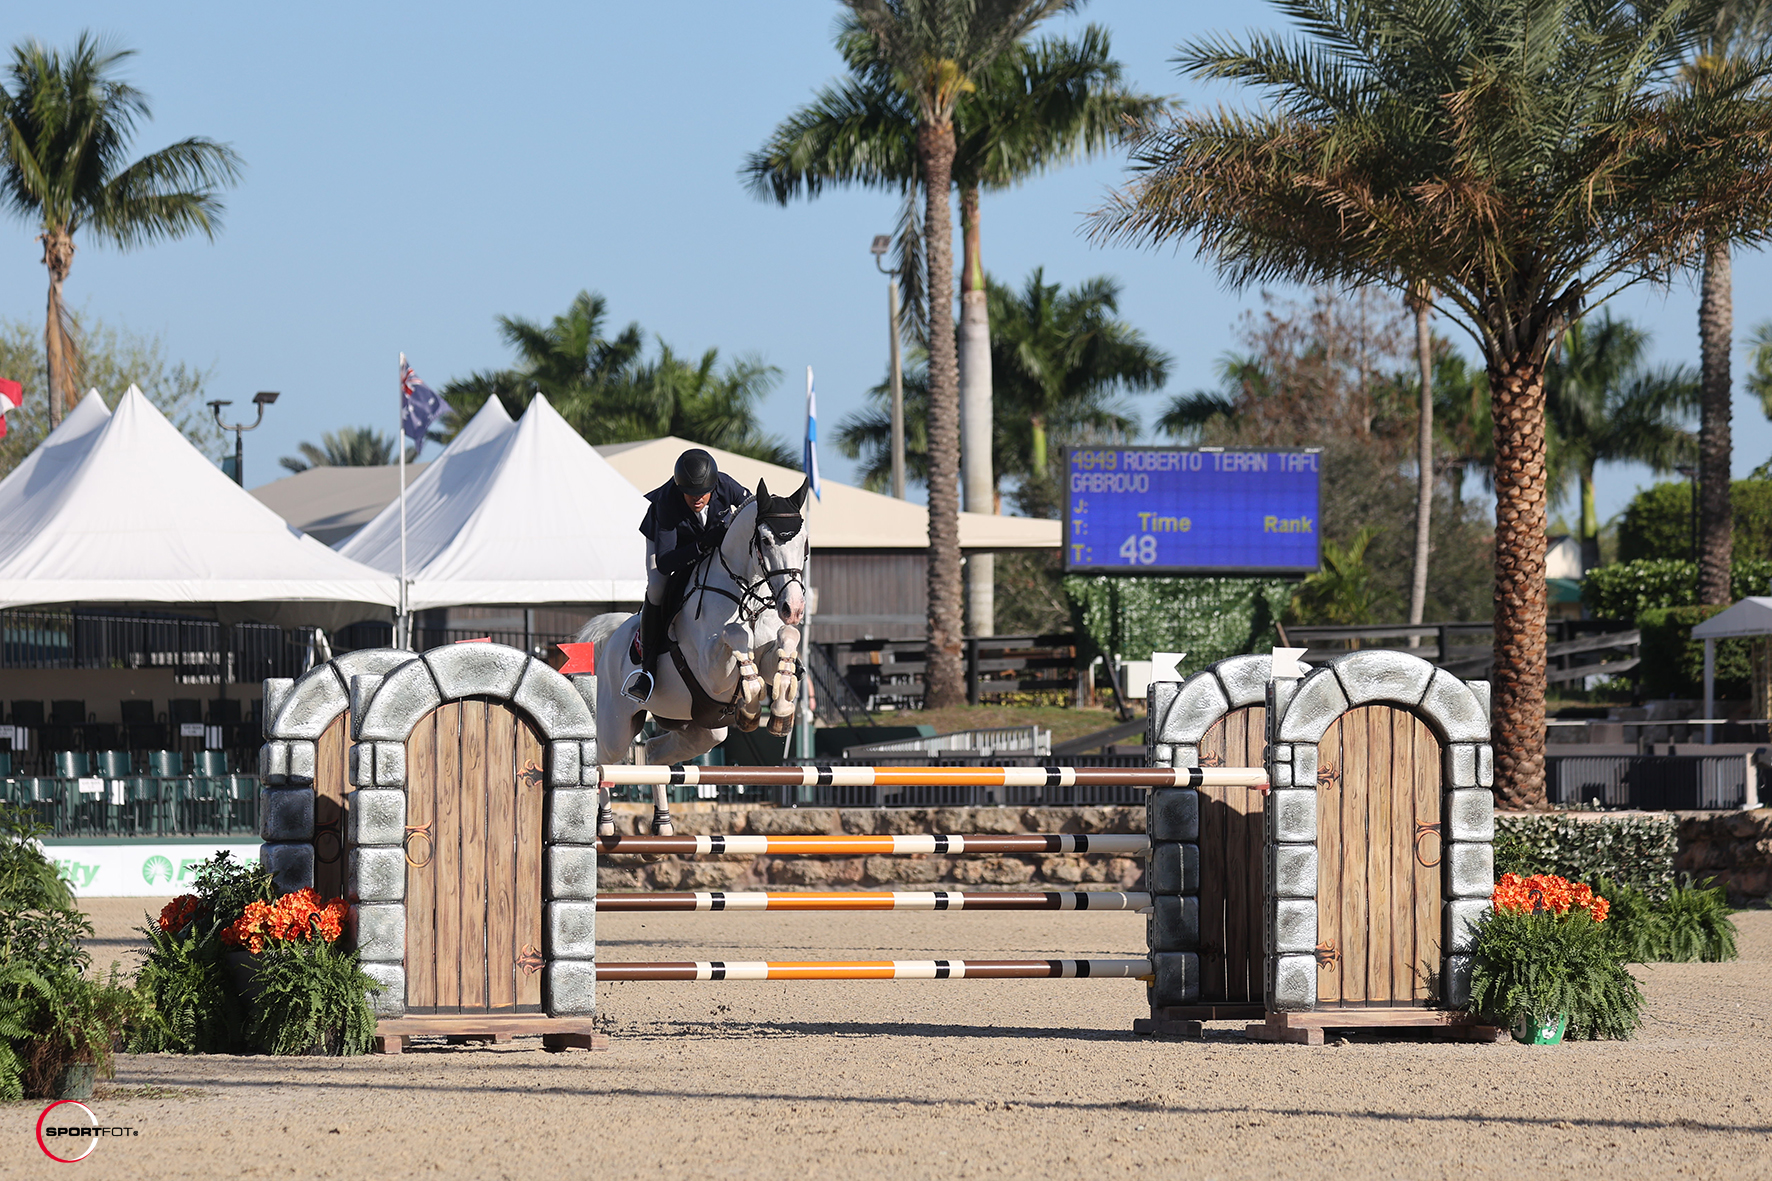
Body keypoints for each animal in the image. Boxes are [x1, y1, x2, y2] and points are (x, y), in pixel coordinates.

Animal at [574, 475, 811, 833]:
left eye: (805, 543)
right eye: (767, 541)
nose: (793, 607)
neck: (749, 596)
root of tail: (615, 635)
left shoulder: (768, 651)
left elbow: (787, 639)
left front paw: (780, 709)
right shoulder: (712, 673)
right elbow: (736, 634)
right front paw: (751, 703)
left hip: (704, 729)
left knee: (653, 755)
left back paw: (662, 824)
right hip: (618, 725)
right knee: (604, 760)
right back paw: (605, 824)